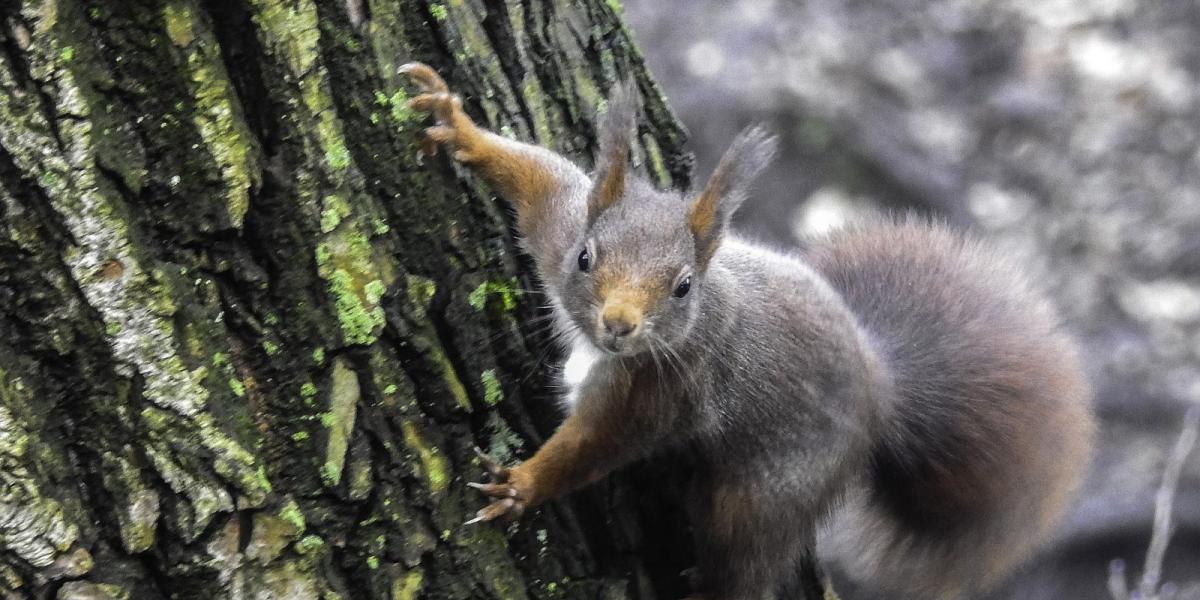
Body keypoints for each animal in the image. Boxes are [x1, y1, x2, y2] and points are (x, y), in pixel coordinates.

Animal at [398, 64, 1094, 600]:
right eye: (586, 259)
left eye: (683, 287)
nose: (618, 324)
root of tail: (882, 388)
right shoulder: (561, 222)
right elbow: (535, 174)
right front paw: (455, 123)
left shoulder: (663, 392)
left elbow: (593, 449)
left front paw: (522, 486)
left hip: (766, 494)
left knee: (749, 565)